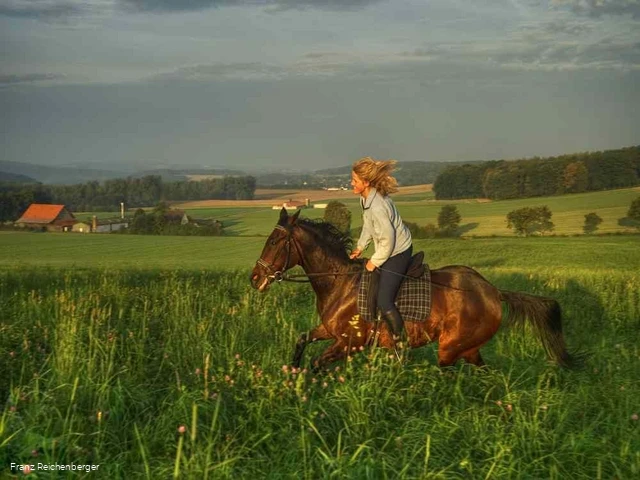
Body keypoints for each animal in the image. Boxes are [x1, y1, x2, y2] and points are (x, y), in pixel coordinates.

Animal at [250, 208, 578, 371]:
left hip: (451, 348)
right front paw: (292, 376)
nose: (255, 278)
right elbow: (301, 340)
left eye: (275, 241)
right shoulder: (331, 331)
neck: (340, 282)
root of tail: (494, 292)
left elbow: (317, 363)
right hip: (468, 350)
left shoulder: (350, 343)